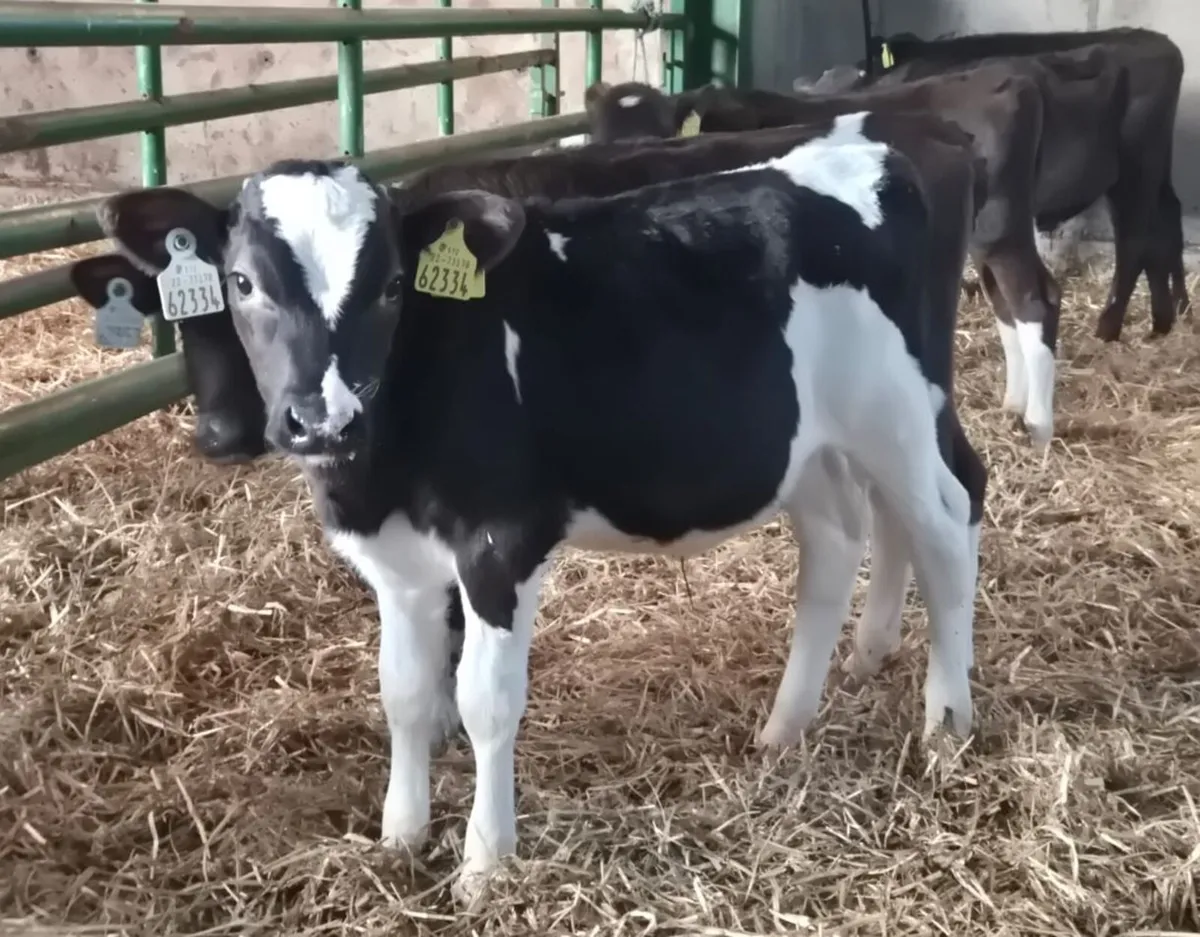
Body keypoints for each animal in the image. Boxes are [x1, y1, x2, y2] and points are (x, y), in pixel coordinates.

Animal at [89, 139, 982, 898]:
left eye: (391, 287)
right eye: (241, 283)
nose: (323, 420)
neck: (382, 470)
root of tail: (871, 155)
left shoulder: (500, 540)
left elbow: (483, 699)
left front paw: (484, 861)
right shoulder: (394, 560)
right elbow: (404, 690)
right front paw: (400, 834)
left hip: (900, 413)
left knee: (949, 519)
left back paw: (947, 723)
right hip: (811, 444)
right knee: (837, 539)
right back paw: (785, 726)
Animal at [583, 69, 1087, 448]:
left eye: (661, 128)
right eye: (601, 131)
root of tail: (1009, 79)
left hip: (1000, 226)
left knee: (1033, 299)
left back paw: (1038, 426)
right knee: (1005, 301)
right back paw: (1014, 406)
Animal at [814, 27, 1189, 342]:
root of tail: (1159, 42)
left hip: (1135, 167)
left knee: (1134, 241)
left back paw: (1109, 327)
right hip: (1155, 169)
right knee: (1167, 222)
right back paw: (1168, 317)